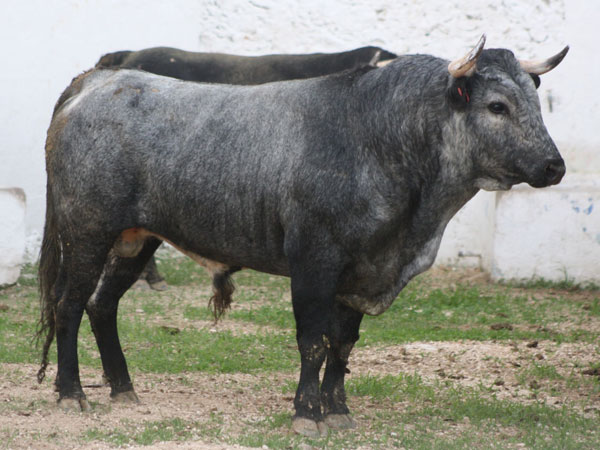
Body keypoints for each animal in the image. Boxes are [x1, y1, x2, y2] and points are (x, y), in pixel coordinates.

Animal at [38, 37, 568, 438]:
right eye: (497, 106)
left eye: (536, 101)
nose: (554, 166)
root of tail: (98, 79)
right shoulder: (314, 261)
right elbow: (313, 341)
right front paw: (306, 414)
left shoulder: (363, 269)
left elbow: (343, 344)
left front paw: (339, 410)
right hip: (87, 231)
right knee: (69, 303)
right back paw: (71, 393)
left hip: (137, 237)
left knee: (102, 304)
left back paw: (123, 388)